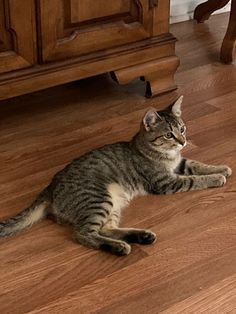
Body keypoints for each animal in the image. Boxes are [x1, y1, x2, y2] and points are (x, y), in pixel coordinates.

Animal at [0, 97, 232, 256]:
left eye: (183, 129)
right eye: (168, 135)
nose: (183, 142)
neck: (165, 155)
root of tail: (49, 187)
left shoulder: (180, 164)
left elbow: (198, 164)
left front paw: (222, 168)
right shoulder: (165, 182)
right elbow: (194, 180)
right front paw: (217, 178)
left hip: (111, 204)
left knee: (106, 229)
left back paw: (140, 236)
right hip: (98, 198)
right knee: (84, 234)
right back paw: (120, 248)